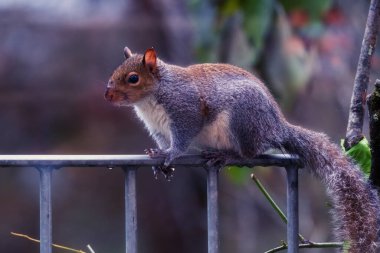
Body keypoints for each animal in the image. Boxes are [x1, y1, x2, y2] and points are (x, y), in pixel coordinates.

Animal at [104, 46, 380, 252]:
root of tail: (276, 126)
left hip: (241, 121)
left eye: (133, 78)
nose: (108, 96)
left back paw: (225, 154)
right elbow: (163, 142)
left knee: (250, 153)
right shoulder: (159, 129)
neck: (154, 95)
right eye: (115, 72)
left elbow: (181, 141)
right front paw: (160, 159)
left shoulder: (186, 112)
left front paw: (171, 154)